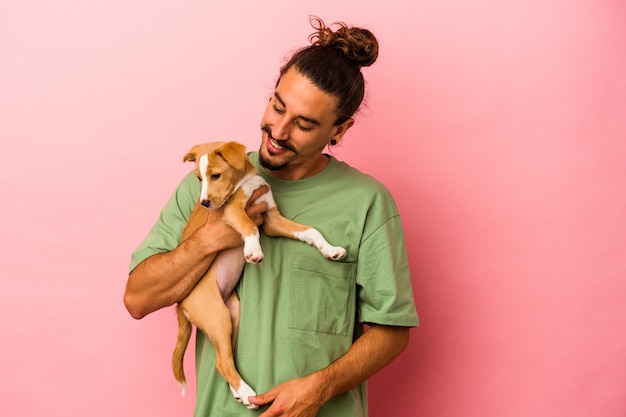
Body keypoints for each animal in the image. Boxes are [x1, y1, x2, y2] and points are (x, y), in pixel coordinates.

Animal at [171, 141, 346, 408]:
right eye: (199, 178)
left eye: (215, 176)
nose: (205, 204)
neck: (246, 181)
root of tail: (180, 304)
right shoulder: (232, 212)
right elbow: (250, 226)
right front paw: (253, 250)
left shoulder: (272, 219)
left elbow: (310, 231)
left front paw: (331, 249)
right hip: (217, 316)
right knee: (222, 362)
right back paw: (246, 392)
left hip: (233, 314)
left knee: (225, 358)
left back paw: (238, 391)